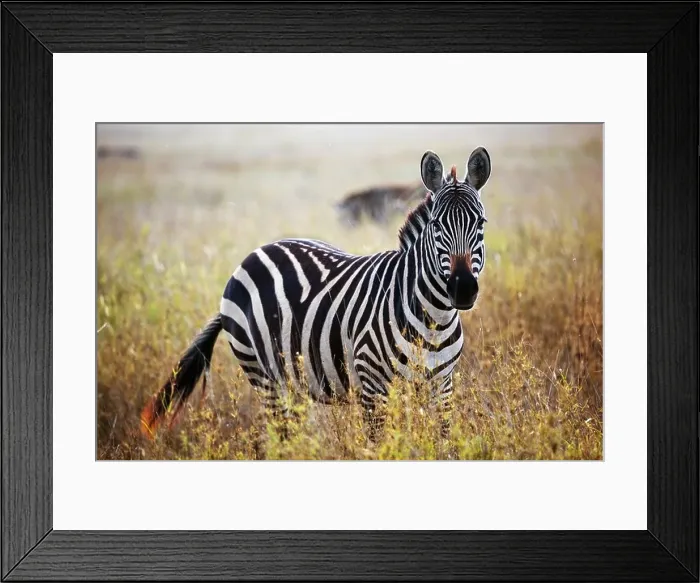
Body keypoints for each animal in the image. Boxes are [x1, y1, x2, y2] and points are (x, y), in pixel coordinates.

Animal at [140, 147, 491, 439]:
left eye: (481, 222)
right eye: (436, 225)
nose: (462, 289)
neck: (434, 318)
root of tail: (254, 253)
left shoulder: (442, 386)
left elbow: (440, 441)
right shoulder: (373, 385)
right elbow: (382, 445)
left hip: (292, 380)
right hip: (264, 376)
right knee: (281, 438)